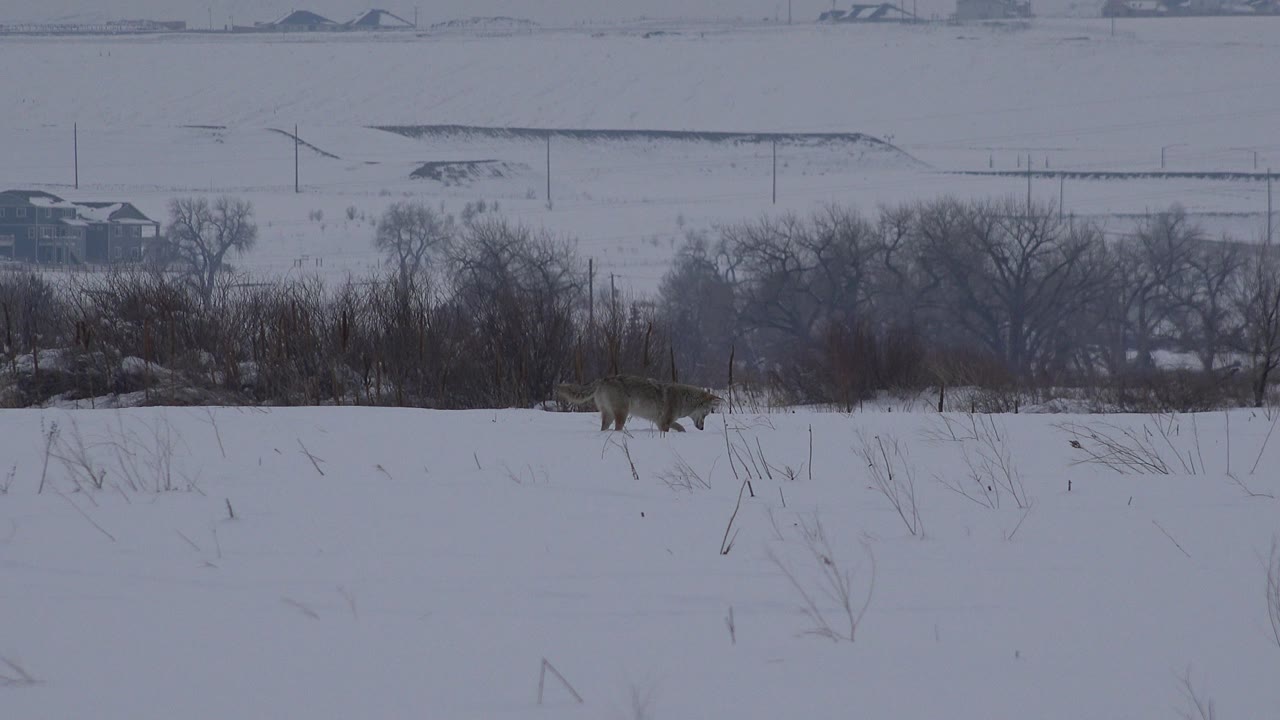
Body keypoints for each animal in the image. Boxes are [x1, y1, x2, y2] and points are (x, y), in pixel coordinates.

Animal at [557, 375, 722, 433]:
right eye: (706, 414)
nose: (702, 428)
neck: (683, 399)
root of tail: (603, 378)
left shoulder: (660, 422)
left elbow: (682, 428)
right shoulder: (664, 423)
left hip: (609, 416)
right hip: (622, 414)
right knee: (617, 429)